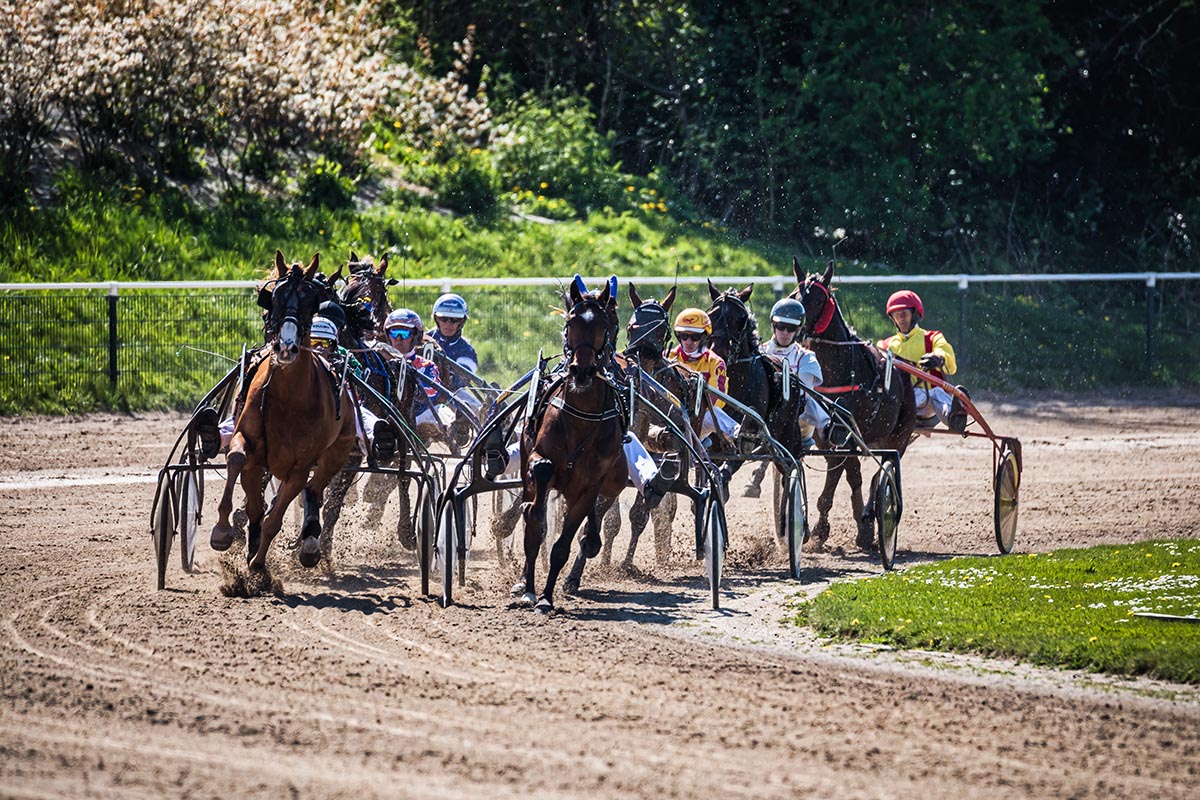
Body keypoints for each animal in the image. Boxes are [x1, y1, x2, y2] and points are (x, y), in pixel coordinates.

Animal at [210, 253, 355, 573]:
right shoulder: (249, 445)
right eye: (274, 298)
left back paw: (310, 541)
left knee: (315, 489)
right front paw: (224, 530)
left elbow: (274, 519)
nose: (286, 347)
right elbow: (236, 460)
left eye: (309, 301)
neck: (288, 398)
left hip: (338, 451)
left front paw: (257, 564)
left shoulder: (299, 468)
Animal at [518, 277, 628, 614]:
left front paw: (545, 597)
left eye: (605, 324)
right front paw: (530, 590)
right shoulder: (538, 458)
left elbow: (562, 544)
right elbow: (535, 521)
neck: (581, 417)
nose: (582, 370)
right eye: (571, 322)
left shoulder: (589, 486)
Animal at [787, 260, 916, 546]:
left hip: (899, 436)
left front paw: (828, 528)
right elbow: (846, 470)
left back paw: (872, 515)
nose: (796, 328)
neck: (839, 369)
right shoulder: (828, 434)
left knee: (883, 470)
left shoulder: (845, 434)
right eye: (795, 294)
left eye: (818, 299)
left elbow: (843, 472)